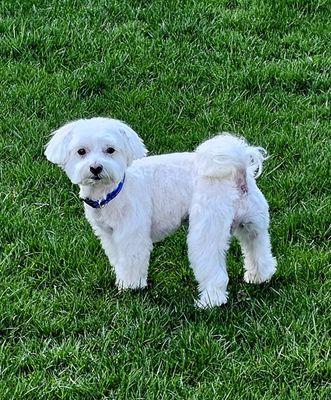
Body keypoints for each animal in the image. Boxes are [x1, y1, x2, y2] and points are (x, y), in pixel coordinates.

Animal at [44, 117, 278, 308]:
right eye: (81, 151)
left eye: (110, 150)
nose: (96, 168)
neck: (112, 190)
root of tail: (238, 171)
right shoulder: (108, 235)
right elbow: (118, 259)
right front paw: (121, 278)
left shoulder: (132, 235)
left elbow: (132, 260)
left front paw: (130, 286)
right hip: (253, 222)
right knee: (258, 249)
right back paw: (259, 276)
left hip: (207, 226)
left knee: (213, 269)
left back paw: (210, 302)